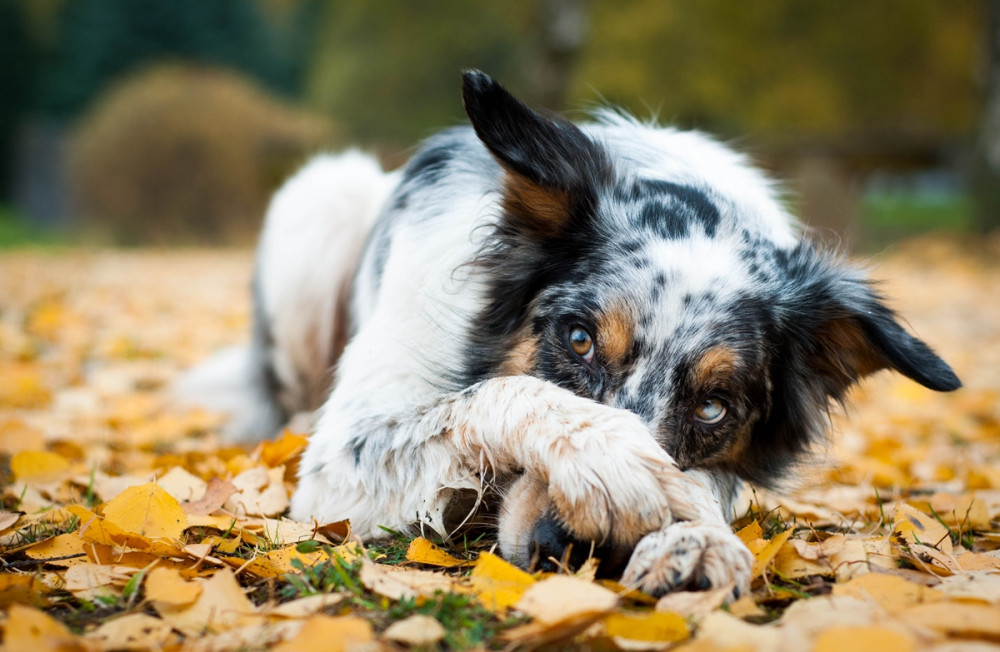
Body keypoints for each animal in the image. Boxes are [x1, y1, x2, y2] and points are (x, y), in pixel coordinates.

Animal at [186, 70, 960, 596]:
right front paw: (615, 465)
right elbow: (504, 395)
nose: (581, 550)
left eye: (715, 407)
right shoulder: (338, 467)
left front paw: (695, 536)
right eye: (579, 340)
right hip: (319, 200)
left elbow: (711, 482)